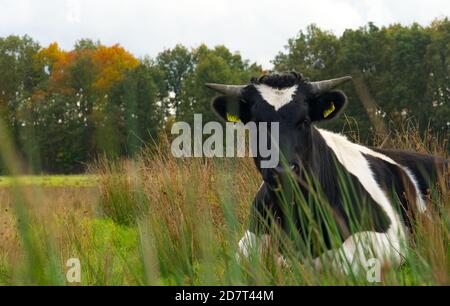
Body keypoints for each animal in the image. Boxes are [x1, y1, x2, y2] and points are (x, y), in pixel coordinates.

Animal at [206, 71, 448, 274]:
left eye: (304, 121)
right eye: (256, 123)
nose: (282, 170)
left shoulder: (388, 240)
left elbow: (341, 261)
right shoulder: (250, 238)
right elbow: (248, 260)